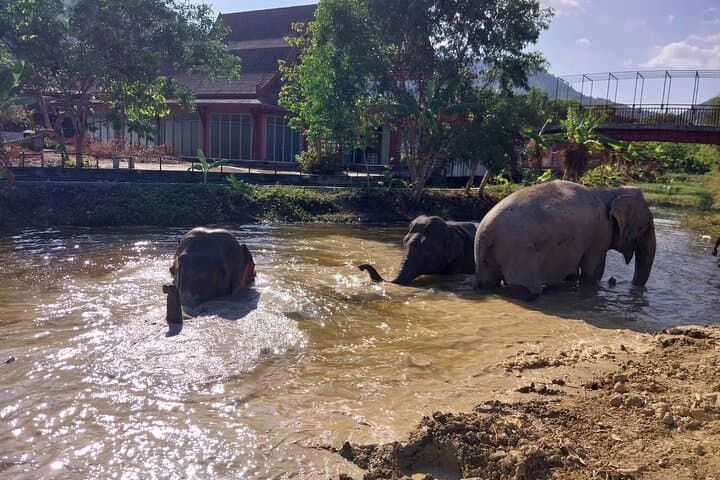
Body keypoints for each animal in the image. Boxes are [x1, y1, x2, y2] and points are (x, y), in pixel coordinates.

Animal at [474, 180, 656, 300]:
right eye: (647, 226)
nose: (614, 281)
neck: (609, 190)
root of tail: (485, 231)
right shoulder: (599, 234)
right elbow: (593, 271)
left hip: (486, 257)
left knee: (488, 283)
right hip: (519, 253)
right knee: (527, 289)